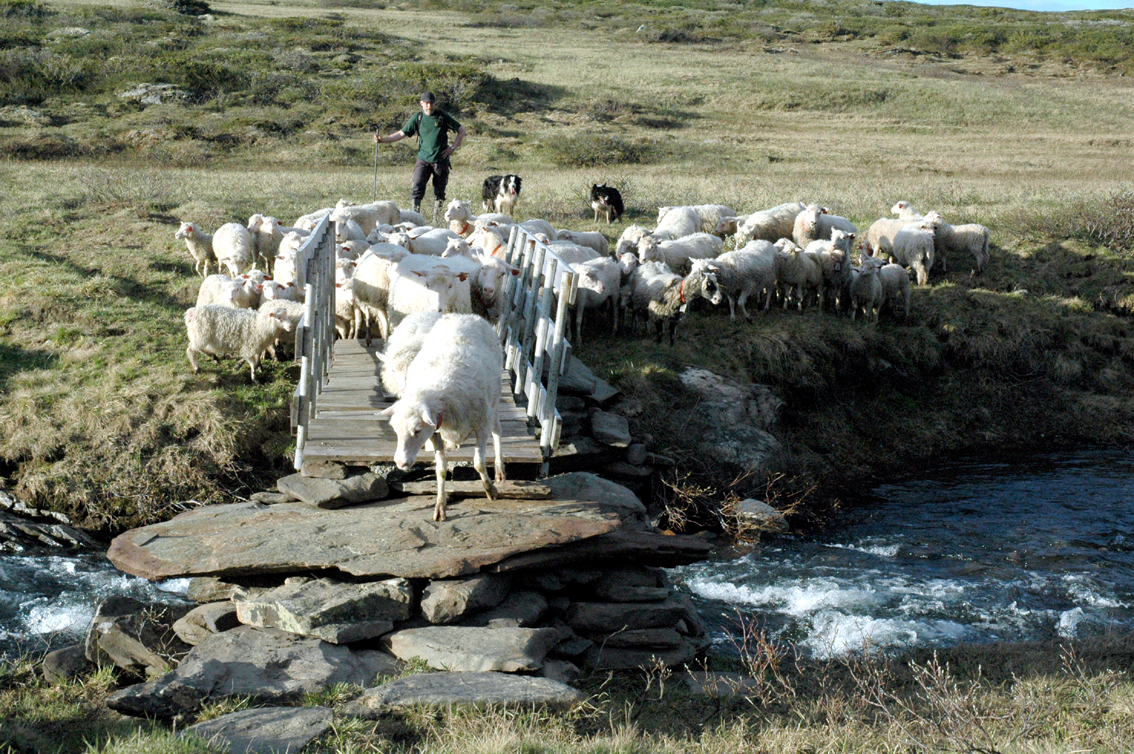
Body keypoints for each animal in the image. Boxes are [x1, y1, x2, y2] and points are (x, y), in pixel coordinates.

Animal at [376, 310, 505, 517]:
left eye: (417, 430)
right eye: (395, 430)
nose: (400, 463)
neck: (437, 389)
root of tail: (465, 315)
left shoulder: (481, 426)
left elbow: (478, 463)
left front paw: (490, 490)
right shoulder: (435, 432)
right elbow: (441, 469)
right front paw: (440, 506)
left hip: (493, 401)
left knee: (498, 431)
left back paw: (500, 470)